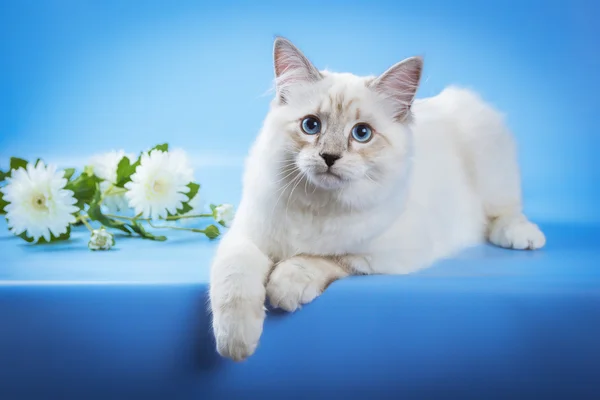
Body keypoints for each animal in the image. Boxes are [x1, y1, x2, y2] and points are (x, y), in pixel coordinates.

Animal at [209, 37, 548, 360]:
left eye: (362, 134)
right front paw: (236, 344)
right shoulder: (246, 238)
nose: (329, 157)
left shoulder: (382, 254)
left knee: (505, 212)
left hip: (490, 162)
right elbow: (232, 284)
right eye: (311, 126)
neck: (318, 204)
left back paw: (523, 237)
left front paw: (284, 285)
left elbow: (322, 258)